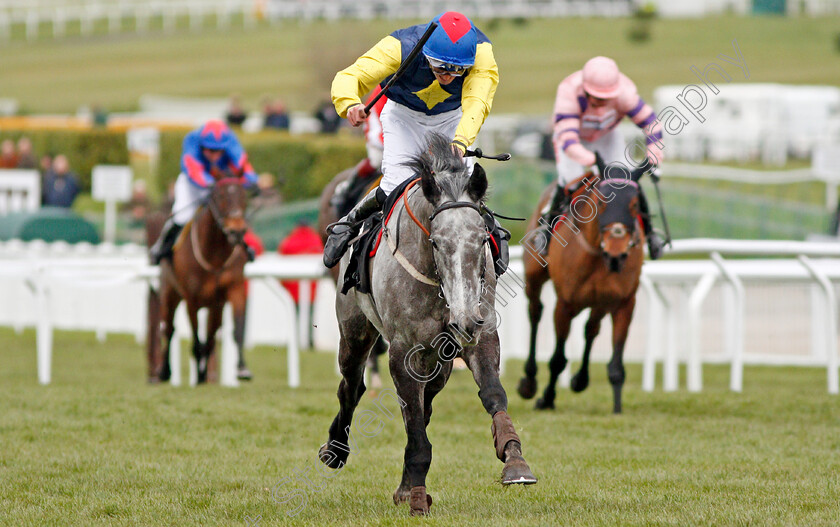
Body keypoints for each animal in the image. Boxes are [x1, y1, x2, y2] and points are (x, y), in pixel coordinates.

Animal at [149, 179, 251, 386]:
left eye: (243, 195)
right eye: (220, 196)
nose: (236, 231)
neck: (215, 257)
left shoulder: (233, 292)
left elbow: (235, 331)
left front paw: (242, 368)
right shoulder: (192, 299)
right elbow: (195, 339)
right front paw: (198, 375)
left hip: (214, 307)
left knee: (209, 338)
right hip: (169, 294)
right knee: (168, 329)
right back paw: (164, 371)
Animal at [318, 133, 536, 516]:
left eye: (483, 238)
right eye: (436, 241)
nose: (464, 319)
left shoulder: (481, 335)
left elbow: (493, 394)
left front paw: (514, 460)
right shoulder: (403, 351)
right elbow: (415, 426)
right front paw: (417, 496)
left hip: (440, 361)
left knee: (425, 402)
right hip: (354, 331)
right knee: (352, 387)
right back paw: (336, 450)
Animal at [516, 167, 648, 414]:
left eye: (635, 204)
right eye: (602, 203)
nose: (617, 254)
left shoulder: (624, 303)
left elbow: (616, 363)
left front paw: (617, 408)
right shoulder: (565, 304)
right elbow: (558, 359)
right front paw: (547, 399)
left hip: (599, 303)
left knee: (591, 329)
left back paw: (580, 380)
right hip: (534, 275)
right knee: (535, 312)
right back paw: (529, 381)